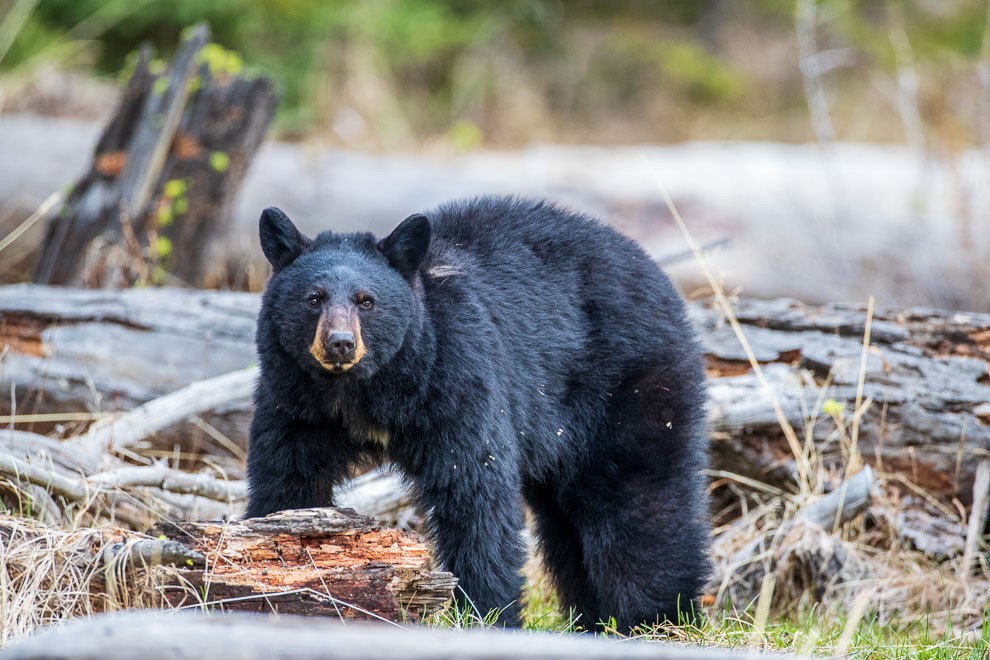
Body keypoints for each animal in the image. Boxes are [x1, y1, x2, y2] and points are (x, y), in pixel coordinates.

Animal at [248, 196, 712, 628]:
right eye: (313, 298)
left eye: (367, 301)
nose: (341, 344)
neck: (364, 390)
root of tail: (659, 278)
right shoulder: (296, 401)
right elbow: (286, 479)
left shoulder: (455, 377)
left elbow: (474, 492)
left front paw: (487, 612)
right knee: (567, 520)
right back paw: (596, 618)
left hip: (626, 385)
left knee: (639, 498)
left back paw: (659, 616)